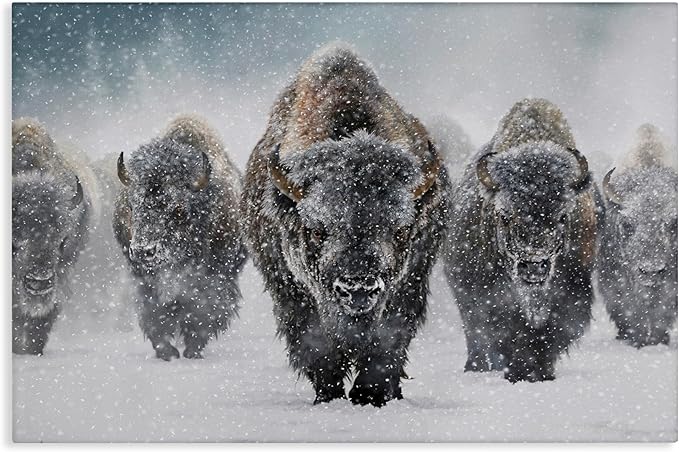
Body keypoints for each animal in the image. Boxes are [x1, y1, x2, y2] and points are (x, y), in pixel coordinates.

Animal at [113, 115, 246, 360]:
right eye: (132, 206)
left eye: (178, 210)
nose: (144, 251)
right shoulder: (144, 279)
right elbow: (154, 313)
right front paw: (167, 351)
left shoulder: (216, 276)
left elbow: (204, 310)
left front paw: (193, 349)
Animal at [241, 44, 449, 406]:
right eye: (316, 230)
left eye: (401, 230)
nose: (358, 288)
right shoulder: (293, 294)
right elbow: (317, 348)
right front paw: (330, 396)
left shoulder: (408, 285)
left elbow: (386, 345)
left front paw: (370, 396)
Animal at [444, 98, 599, 382]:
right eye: (505, 215)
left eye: (563, 216)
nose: (534, 266)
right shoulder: (489, 295)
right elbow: (507, 329)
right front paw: (518, 371)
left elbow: (552, 331)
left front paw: (541, 372)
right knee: (475, 334)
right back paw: (476, 366)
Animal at [598, 124, 677, 347]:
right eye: (627, 224)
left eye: (673, 223)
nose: (651, 271)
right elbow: (629, 311)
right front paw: (634, 339)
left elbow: (662, 313)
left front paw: (658, 339)